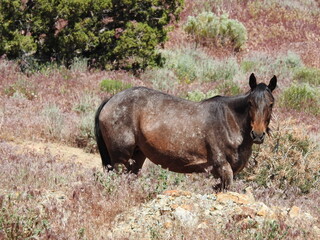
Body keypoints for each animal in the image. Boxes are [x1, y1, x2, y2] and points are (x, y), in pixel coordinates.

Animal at [94, 73, 276, 189]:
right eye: (250, 103)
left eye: (271, 104)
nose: (257, 135)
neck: (230, 121)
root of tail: (110, 100)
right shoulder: (223, 168)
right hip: (120, 159)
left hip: (137, 157)